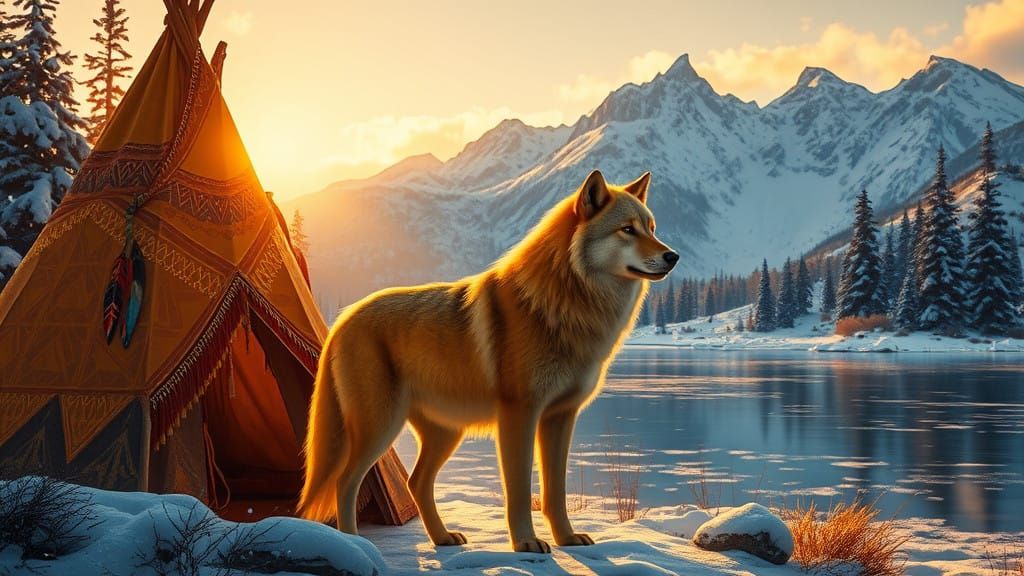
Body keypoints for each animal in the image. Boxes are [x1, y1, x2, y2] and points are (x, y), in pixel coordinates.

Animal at [298, 170, 678, 552]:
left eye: (652, 228)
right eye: (627, 229)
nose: (673, 256)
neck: (564, 304)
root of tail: (343, 319)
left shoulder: (560, 417)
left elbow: (555, 492)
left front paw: (567, 538)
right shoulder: (519, 415)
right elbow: (520, 491)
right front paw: (526, 543)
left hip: (444, 433)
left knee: (416, 482)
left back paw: (443, 538)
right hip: (380, 427)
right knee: (345, 481)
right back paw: (354, 544)